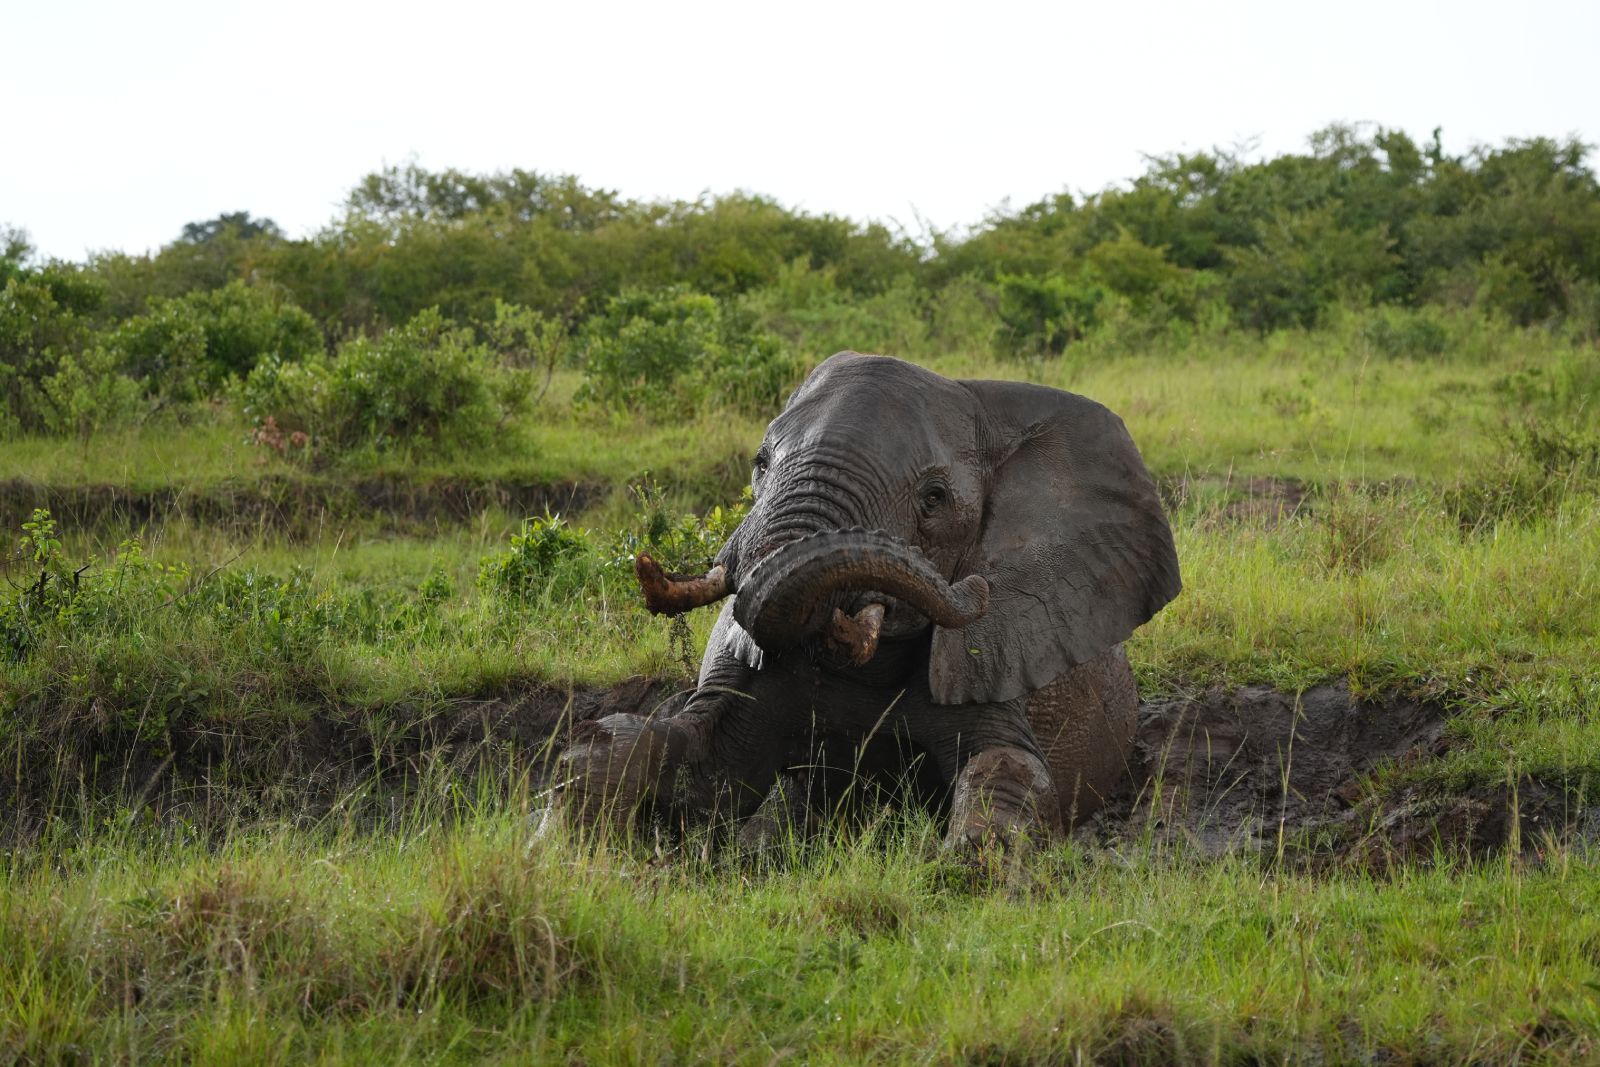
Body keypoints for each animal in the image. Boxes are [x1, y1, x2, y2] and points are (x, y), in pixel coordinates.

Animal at [557, 351, 1181, 851]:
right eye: (760, 462)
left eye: (935, 498)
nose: (974, 590)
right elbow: (697, 773)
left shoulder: (996, 660)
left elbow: (1010, 768)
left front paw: (963, 867)